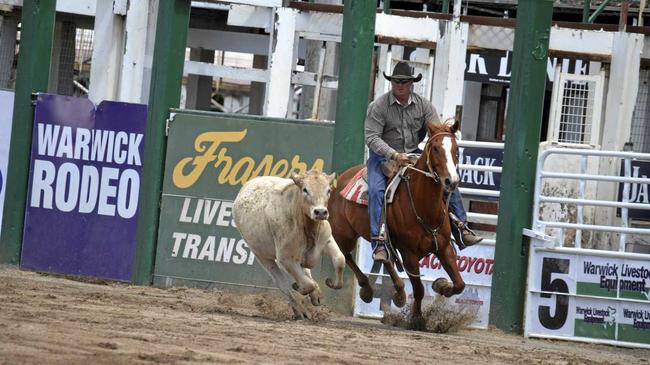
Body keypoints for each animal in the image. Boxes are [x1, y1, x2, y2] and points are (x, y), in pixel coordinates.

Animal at [330, 120, 466, 324]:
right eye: (435, 148)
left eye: (456, 149)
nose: (451, 181)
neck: (424, 208)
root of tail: (341, 179)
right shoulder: (409, 253)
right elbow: (419, 289)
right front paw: (417, 319)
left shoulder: (444, 248)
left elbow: (459, 284)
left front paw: (441, 285)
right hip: (344, 233)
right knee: (347, 254)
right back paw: (367, 290)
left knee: (383, 257)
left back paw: (399, 293)